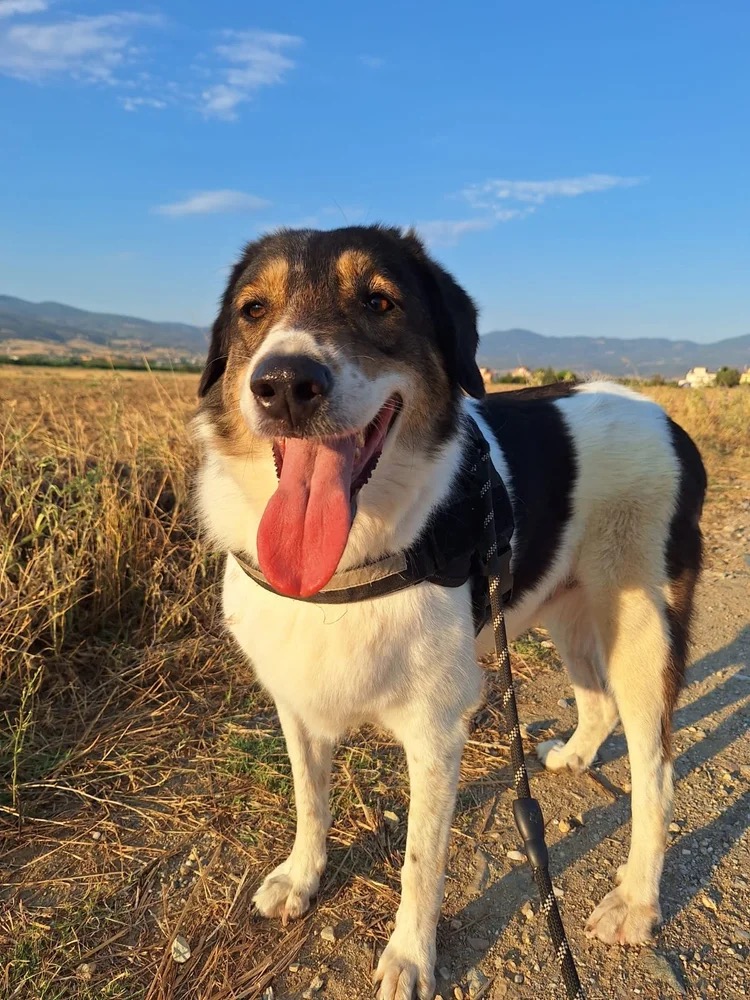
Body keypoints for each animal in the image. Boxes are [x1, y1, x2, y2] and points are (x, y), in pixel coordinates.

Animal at [193, 225, 706, 1000]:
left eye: (380, 301)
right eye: (254, 309)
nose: (283, 384)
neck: (355, 559)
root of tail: (667, 416)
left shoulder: (436, 729)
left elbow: (421, 860)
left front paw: (409, 956)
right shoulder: (297, 698)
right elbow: (310, 800)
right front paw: (303, 877)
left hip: (642, 627)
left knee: (657, 771)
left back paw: (636, 901)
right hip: (566, 605)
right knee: (597, 700)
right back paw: (576, 755)